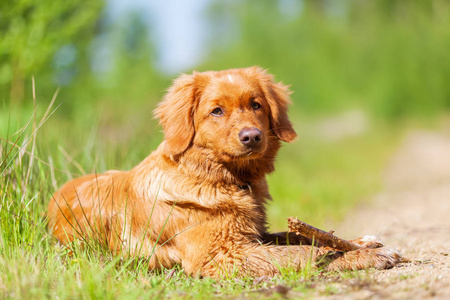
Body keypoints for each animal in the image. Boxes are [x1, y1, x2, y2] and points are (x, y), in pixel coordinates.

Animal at [47, 67, 402, 278]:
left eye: (256, 104)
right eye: (216, 111)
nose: (252, 137)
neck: (220, 178)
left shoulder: (251, 235)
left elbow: (298, 236)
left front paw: (359, 242)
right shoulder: (220, 255)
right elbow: (300, 252)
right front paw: (362, 257)